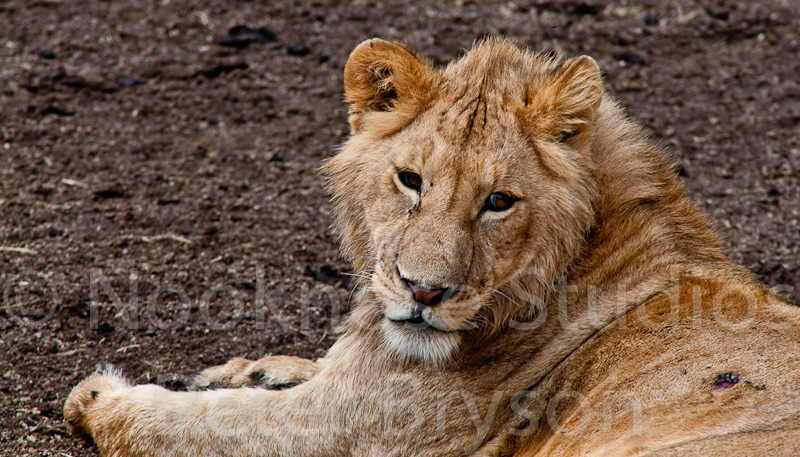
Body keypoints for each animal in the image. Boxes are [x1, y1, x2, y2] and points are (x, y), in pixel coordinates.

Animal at [64, 39, 800, 456]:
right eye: (410, 180)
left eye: (499, 201)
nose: (423, 290)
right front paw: (248, 369)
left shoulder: (349, 429)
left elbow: (198, 425)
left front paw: (100, 399)